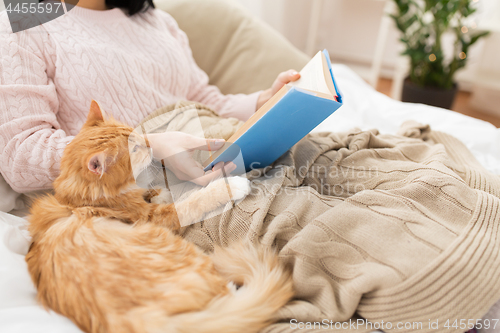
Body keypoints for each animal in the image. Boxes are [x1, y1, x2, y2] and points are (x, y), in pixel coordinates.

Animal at [25, 100, 292, 332]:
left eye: (133, 134)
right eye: (134, 149)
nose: (150, 142)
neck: (80, 200)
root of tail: (143, 321)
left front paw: (156, 192)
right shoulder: (153, 218)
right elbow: (192, 202)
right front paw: (228, 186)